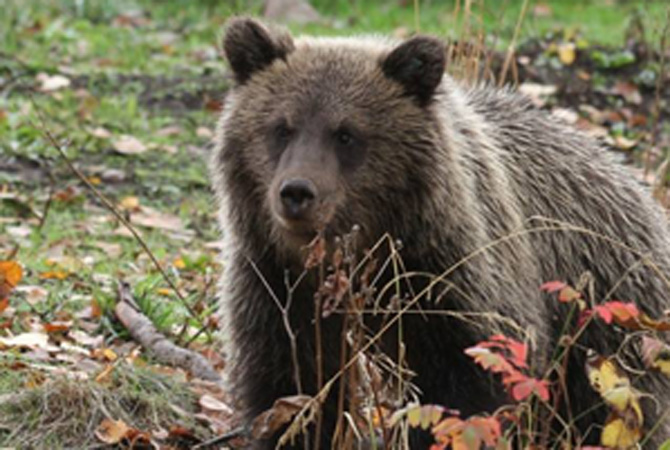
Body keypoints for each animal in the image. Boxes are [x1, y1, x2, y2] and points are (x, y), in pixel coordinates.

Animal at [211, 17, 670, 448]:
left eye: (345, 133)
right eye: (281, 127)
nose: (297, 192)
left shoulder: (450, 279)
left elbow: (466, 390)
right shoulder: (277, 282)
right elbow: (293, 384)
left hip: (611, 322)